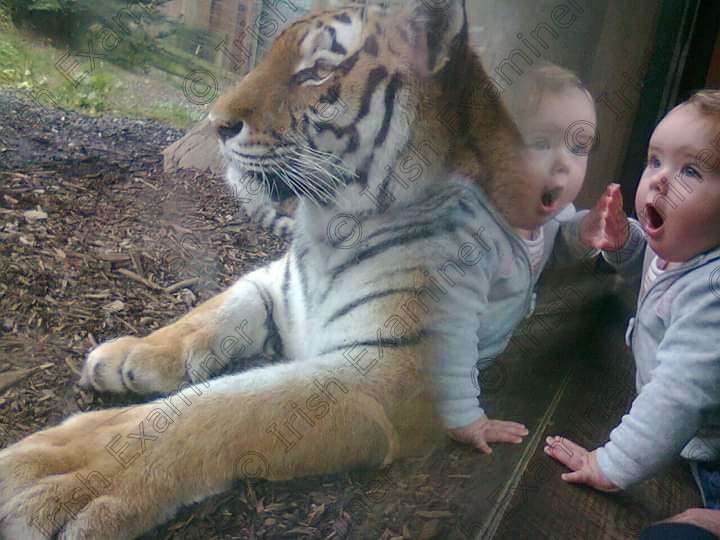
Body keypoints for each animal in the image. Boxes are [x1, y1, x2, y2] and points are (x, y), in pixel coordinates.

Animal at [0, 2, 556, 536]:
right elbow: (209, 313)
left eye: (317, 72)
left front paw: (63, 471)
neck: (329, 228)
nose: (216, 122)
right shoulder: (276, 284)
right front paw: (129, 356)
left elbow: (221, 409)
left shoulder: (390, 371)